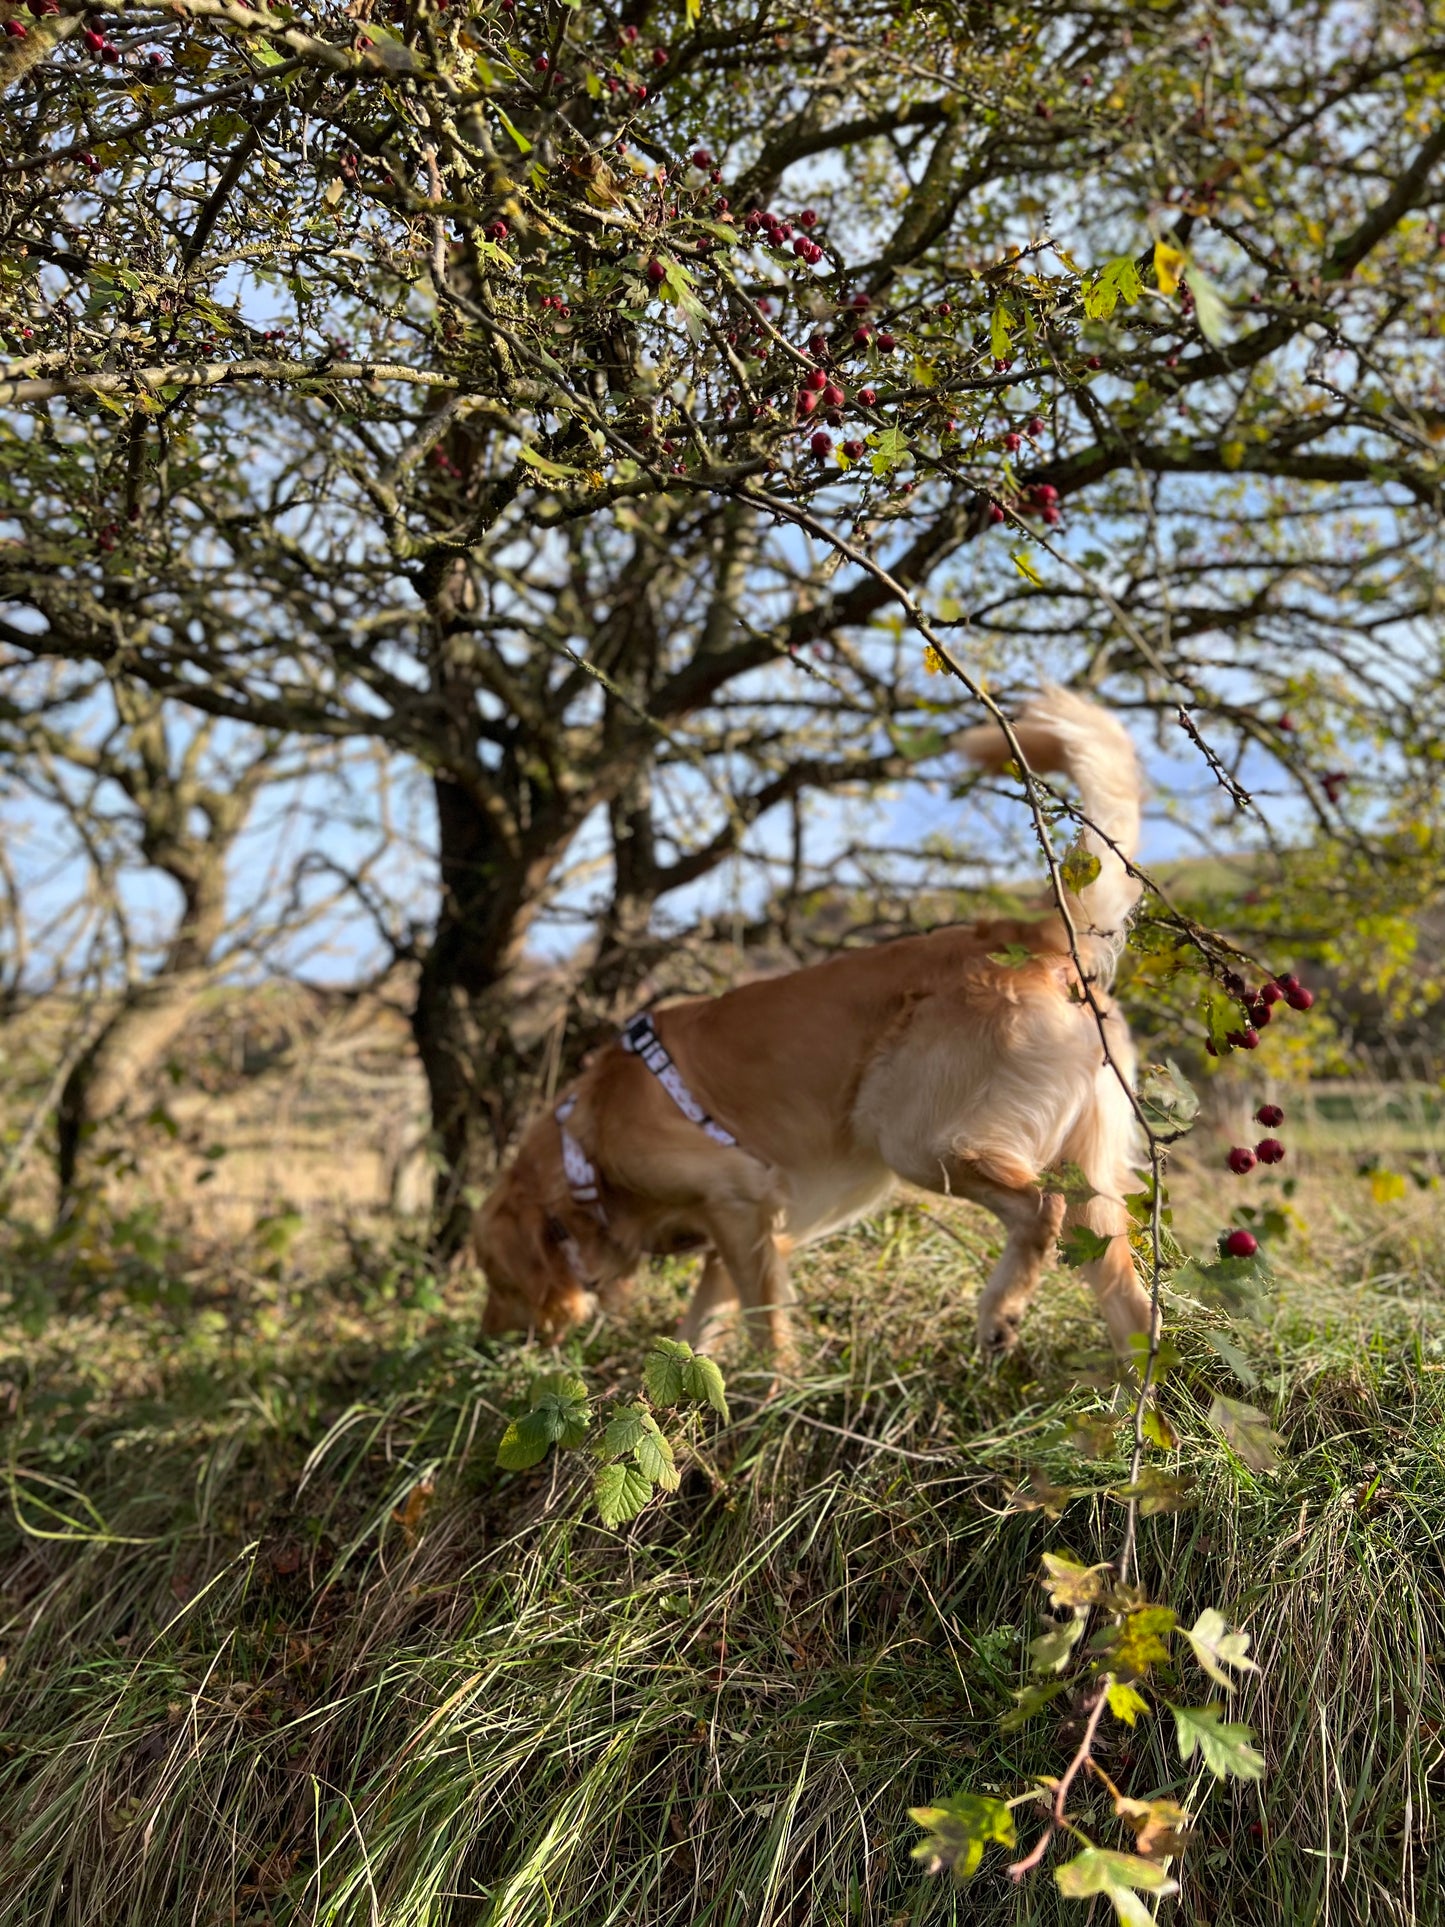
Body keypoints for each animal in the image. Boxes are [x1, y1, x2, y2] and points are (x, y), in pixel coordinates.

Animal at [475, 686, 1156, 1364]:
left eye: (496, 1281)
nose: (487, 1340)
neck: (587, 1141)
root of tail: (1028, 938)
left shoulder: (739, 1197)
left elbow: (763, 1330)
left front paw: (774, 1387)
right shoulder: (744, 1230)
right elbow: (698, 1336)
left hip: (913, 1136)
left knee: (1041, 1208)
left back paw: (999, 1313)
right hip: (1086, 1190)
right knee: (1127, 1299)